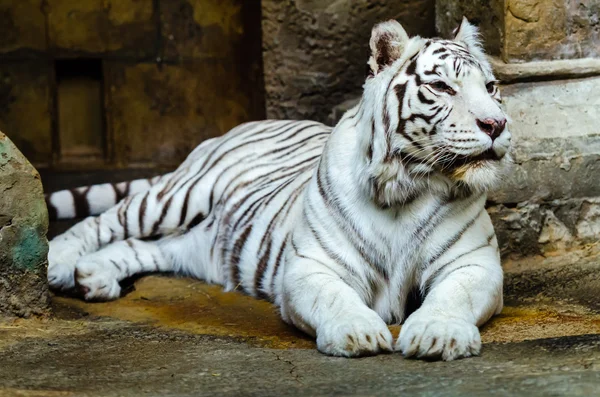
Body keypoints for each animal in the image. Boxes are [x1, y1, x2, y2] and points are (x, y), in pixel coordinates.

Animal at [45, 17, 510, 358]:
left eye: (491, 87)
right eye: (442, 87)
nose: (497, 124)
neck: (405, 188)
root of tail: (246, 123)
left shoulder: (473, 263)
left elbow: (453, 296)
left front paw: (438, 334)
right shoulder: (310, 267)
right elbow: (336, 298)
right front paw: (356, 332)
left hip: (192, 242)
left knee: (144, 247)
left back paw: (94, 276)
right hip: (178, 196)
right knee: (103, 223)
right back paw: (60, 266)